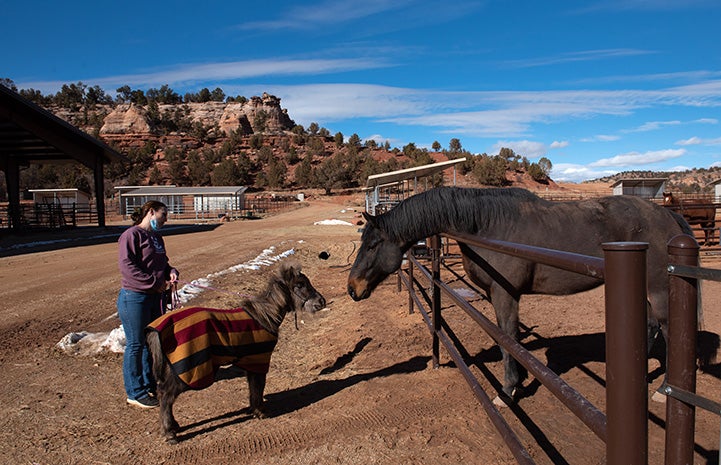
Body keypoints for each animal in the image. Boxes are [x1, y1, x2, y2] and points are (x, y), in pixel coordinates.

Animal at [147, 262, 326, 444]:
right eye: (300, 285)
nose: (321, 301)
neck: (264, 317)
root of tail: (157, 329)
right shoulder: (259, 362)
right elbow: (258, 387)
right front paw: (260, 412)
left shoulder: (251, 364)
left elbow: (253, 388)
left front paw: (254, 410)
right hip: (185, 372)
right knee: (166, 395)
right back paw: (169, 432)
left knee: (165, 395)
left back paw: (174, 426)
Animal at [346, 187, 696, 400]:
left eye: (374, 244)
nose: (352, 288)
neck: (488, 226)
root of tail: (667, 216)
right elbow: (510, 339)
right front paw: (519, 380)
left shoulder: (506, 294)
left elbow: (507, 339)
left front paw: (509, 390)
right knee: (651, 327)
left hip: (659, 290)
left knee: (668, 330)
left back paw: (663, 389)